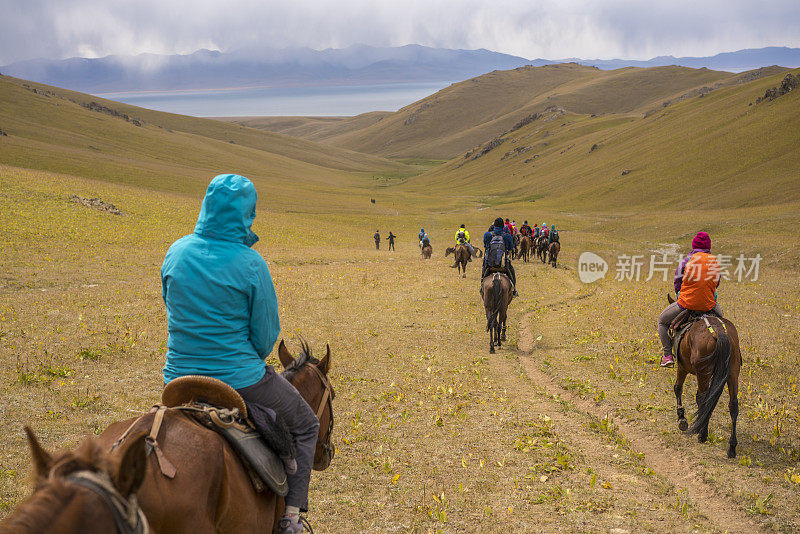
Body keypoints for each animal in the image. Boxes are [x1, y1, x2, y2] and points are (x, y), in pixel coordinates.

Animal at [664, 296, 740, 458]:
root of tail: (719, 332)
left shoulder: (682, 368)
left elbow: (678, 388)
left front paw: (682, 418)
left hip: (703, 373)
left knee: (705, 398)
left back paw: (702, 434)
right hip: (732, 373)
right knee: (733, 405)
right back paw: (731, 447)